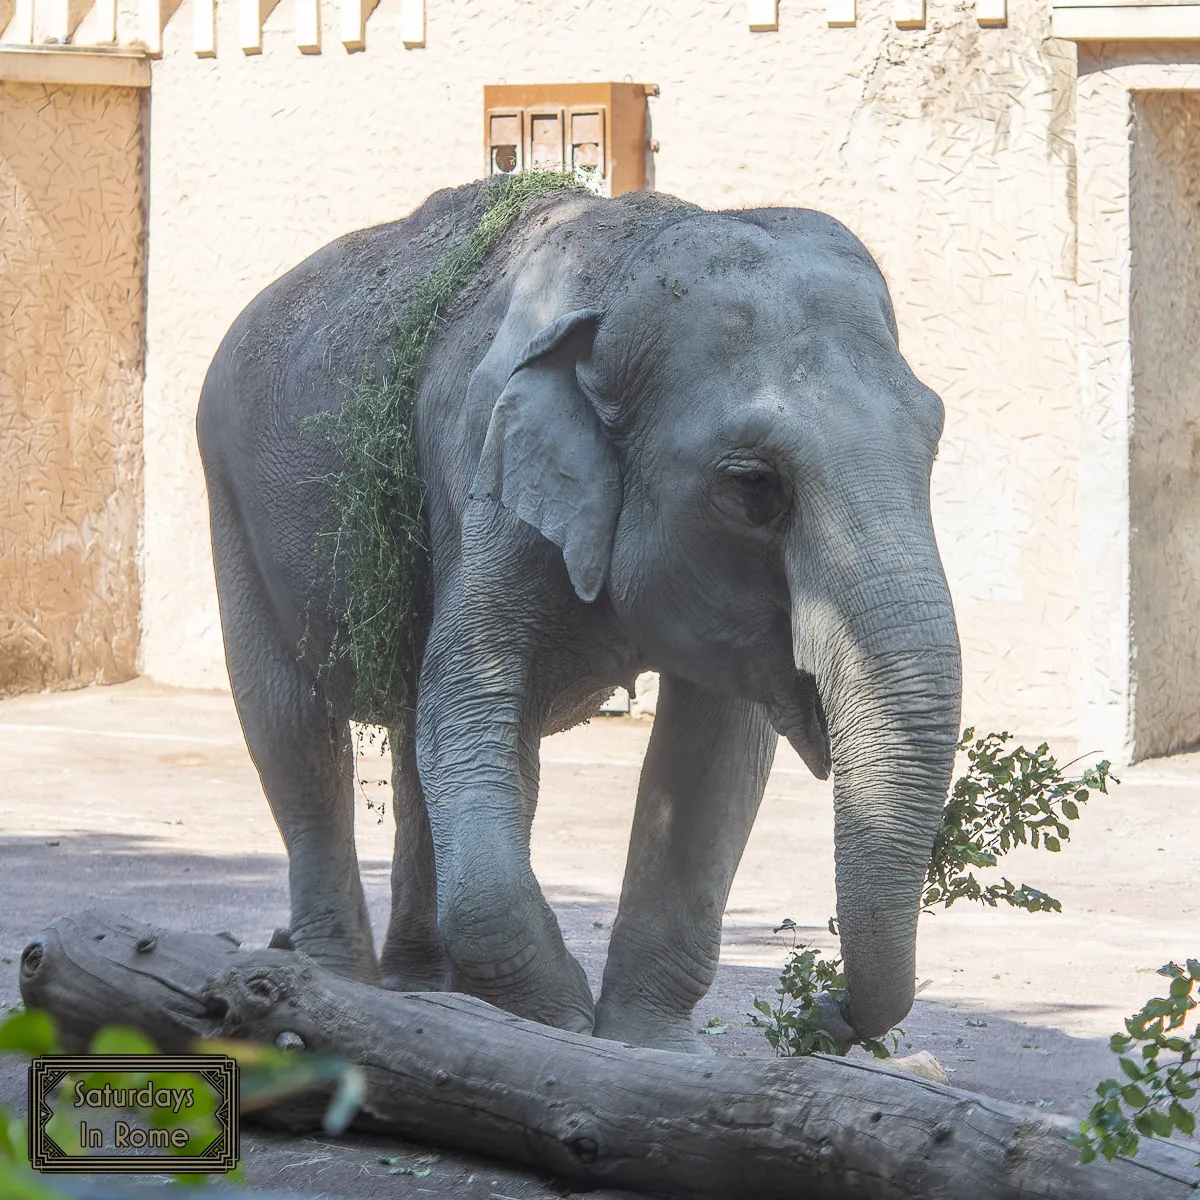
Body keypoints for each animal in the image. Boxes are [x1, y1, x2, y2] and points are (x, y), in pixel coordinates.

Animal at [199, 175, 964, 1051]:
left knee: (412, 739)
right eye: (753, 485)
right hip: (228, 494)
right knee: (292, 728)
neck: (629, 265)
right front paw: (562, 1021)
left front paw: (648, 1047)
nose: (825, 1007)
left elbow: (715, 753)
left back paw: (420, 989)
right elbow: (472, 706)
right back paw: (333, 987)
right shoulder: (488, 477)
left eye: (935, 441)